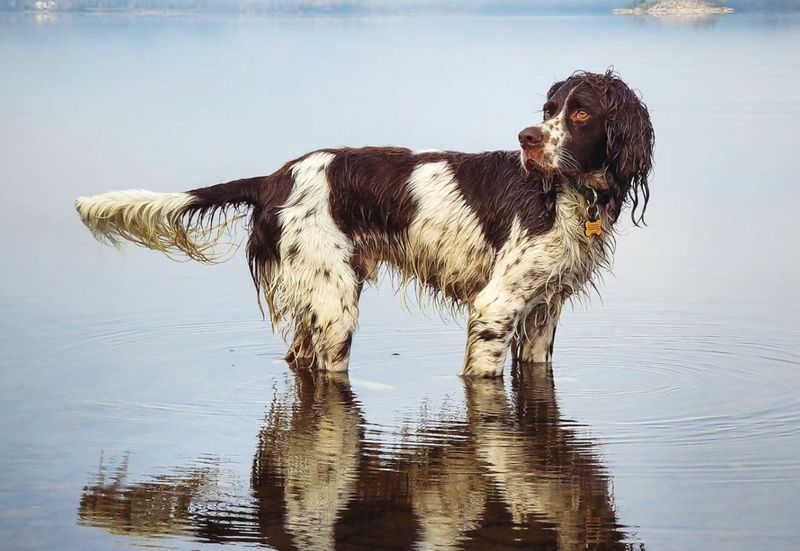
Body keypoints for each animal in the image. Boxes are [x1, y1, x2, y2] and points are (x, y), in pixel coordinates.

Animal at [75, 70, 652, 380]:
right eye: (549, 109)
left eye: (580, 113)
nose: (527, 138)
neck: (568, 194)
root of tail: (273, 179)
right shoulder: (497, 305)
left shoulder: (544, 310)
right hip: (334, 309)